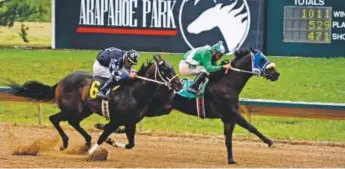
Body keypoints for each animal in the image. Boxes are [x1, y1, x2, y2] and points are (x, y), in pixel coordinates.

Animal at [8, 54, 183, 153]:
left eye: (173, 68)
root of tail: (61, 82)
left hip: (84, 110)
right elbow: (103, 136)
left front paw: (110, 141)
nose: (179, 84)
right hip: (72, 108)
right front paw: (93, 152)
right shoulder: (116, 120)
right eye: (166, 70)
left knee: (72, 122)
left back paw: (84, 141)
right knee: (55, 119)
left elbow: (130, 144)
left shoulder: (130, 122)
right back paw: (67, 143)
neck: (134, 93)